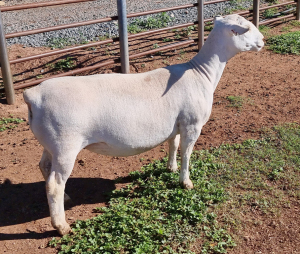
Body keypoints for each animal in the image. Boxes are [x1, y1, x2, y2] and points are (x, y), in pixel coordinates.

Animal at [22, 14, 262, 236]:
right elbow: (186, 153)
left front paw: (170, 167)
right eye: (246, 28)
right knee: (54, 184)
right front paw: (185, 182)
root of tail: (33, 95)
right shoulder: (192, 124)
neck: (200, 73)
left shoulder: (177, 123)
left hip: (51, 142)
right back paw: (61, 226)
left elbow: (173, 145)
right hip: (66, 144)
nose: (262, 40)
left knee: (45, 168)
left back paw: (67, 198)